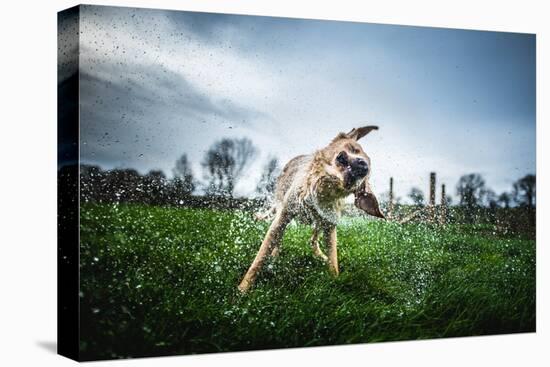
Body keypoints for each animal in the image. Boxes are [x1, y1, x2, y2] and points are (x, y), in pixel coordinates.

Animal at [239, 126, 386, 294]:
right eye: (354, 149)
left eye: (365, 175)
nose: (364, 166)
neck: (323, 187)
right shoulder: (284, 214)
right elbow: (260, 257)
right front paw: (243, 288)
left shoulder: (330, 225)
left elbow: (333, 259)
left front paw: (335, 281)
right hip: (281, 205)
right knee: (279, 238)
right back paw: (276, 254)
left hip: (319, 222)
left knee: (313, 240)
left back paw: (320, 255)